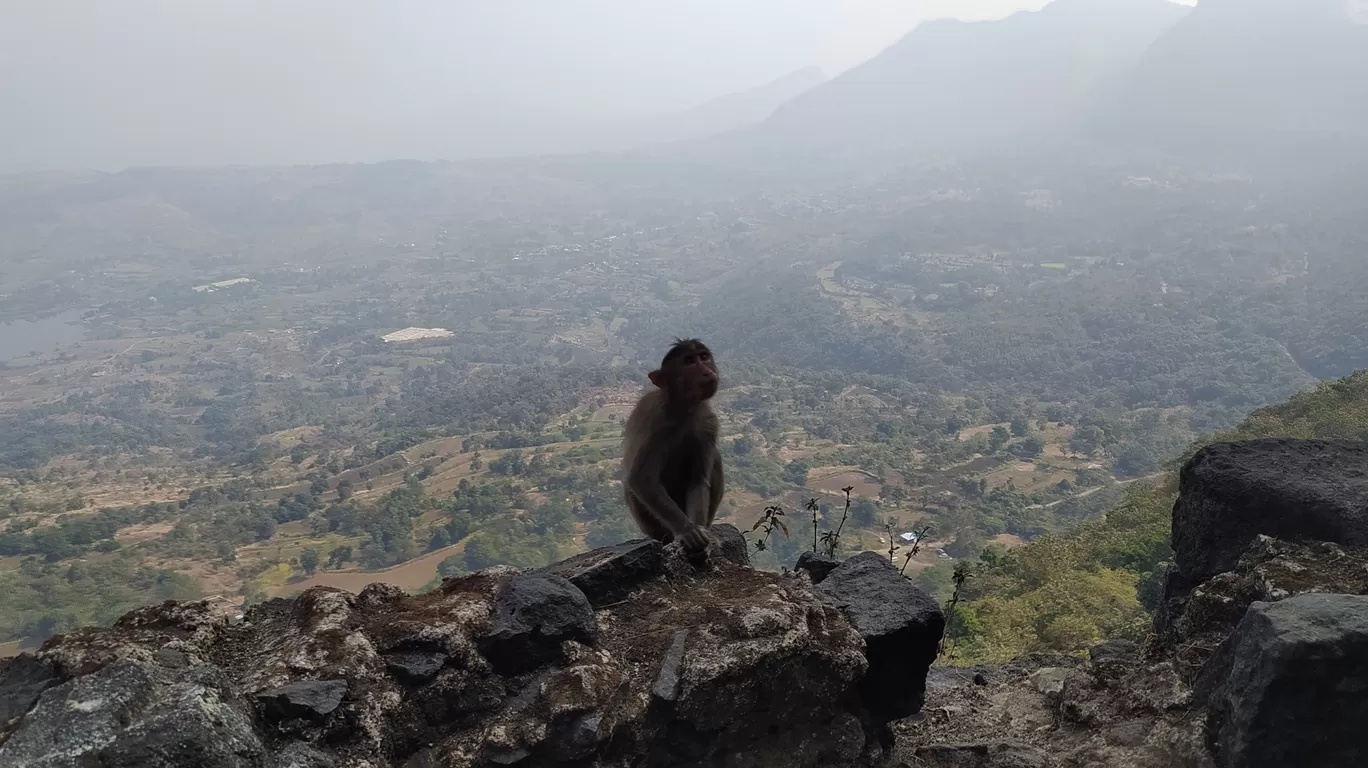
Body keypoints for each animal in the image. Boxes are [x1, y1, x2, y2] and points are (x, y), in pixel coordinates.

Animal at [623, 335, 727, 550]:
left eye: (704, 357)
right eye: (689, 361)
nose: (707, 371)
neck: (684, 409)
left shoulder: (708, 423)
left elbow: (698, 480)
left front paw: (699, 529)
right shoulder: (656, 422)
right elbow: (641, 478)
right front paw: (688, 530)